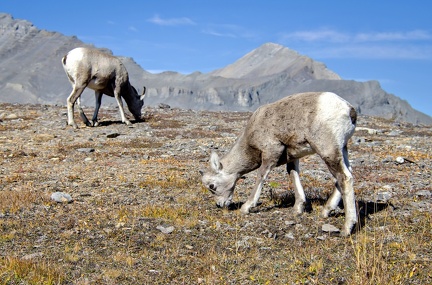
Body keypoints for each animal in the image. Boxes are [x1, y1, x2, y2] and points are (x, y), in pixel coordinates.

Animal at [201, 91, 360, 235]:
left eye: (212, 186)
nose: (220, 204)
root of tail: (349, 109)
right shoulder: (293, 157)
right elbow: (293, 174)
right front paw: (298, 209)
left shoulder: (270, 153)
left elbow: (261, 175)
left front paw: (246, 207)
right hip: (342, 149)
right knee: (347, 174)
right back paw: (326, 211)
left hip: (327, 150)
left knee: (344, 178)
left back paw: (347, 228)